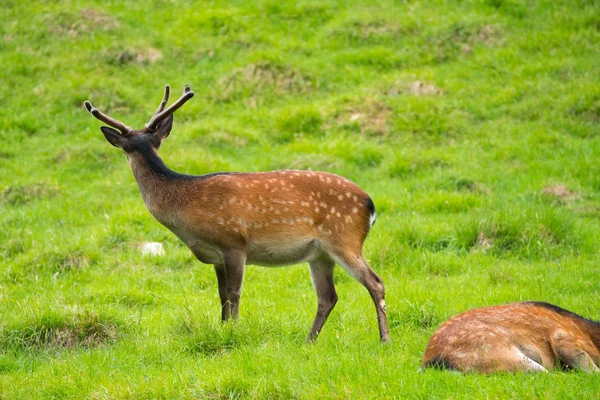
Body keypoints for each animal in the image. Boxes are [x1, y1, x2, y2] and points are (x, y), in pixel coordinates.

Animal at [84, 83, 392, 340]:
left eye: (126, 150)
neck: (186, 207)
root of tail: (369, 204)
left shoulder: (233, 242)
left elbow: (234, 293)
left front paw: (234, 330)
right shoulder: (215, 255)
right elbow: (221, 295)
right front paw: (222, 328)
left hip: (344, 238)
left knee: (375, 282)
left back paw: (384, 339)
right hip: (319, 254)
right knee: (328, 297)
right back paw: (308, 341)